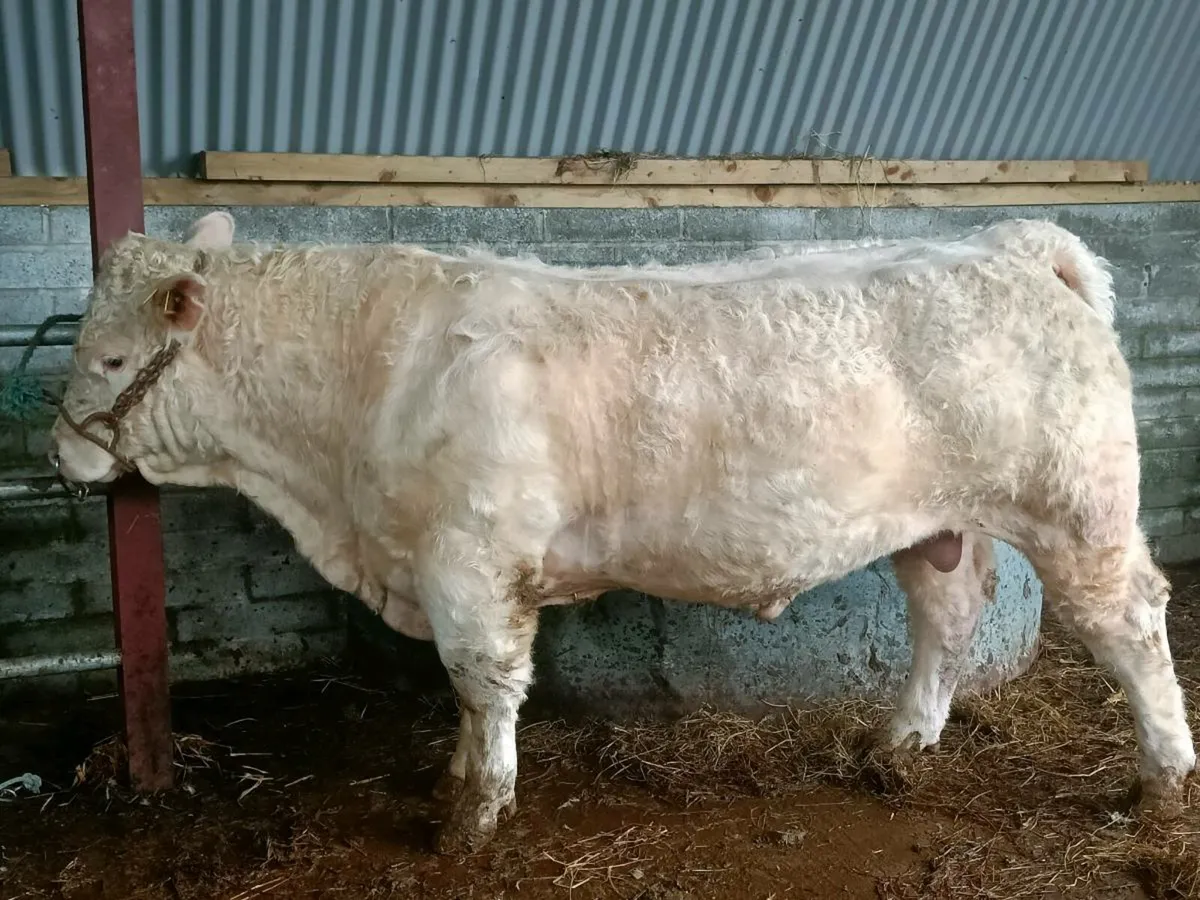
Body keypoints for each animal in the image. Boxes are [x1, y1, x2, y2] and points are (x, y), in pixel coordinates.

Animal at [49, 210, 1195, 854]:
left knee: (1132, 624)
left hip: (1079, 507)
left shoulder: (471, 561)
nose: (58, 452)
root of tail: (1008, 247)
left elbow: (482, 681)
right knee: (949, 615)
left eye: (108, 359)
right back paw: (900, 745)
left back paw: (1164, 780)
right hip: (942, 521)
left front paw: (471, 819)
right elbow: (470, 697)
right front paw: (459, 779)